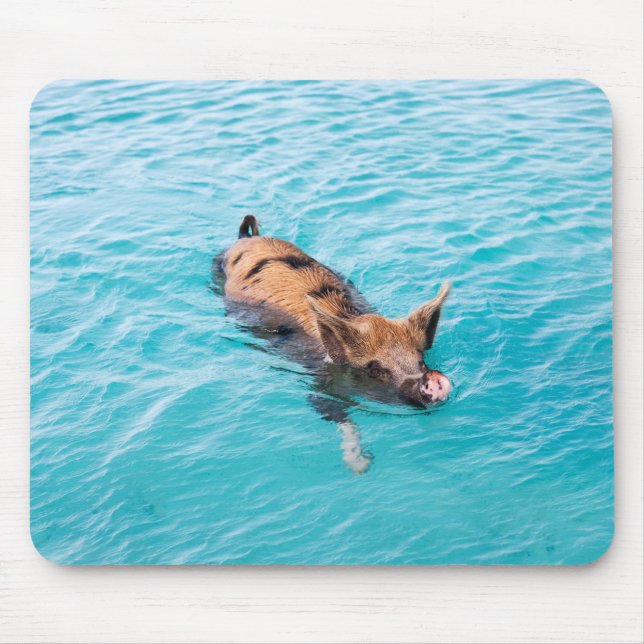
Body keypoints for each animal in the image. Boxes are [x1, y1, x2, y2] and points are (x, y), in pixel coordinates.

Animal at [214, 214, 452, 473]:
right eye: (374, 369)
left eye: (420, 359)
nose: (432, 379)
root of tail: (249, 237)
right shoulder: (318, 379)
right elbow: (331, 411)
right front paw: (361, 465)